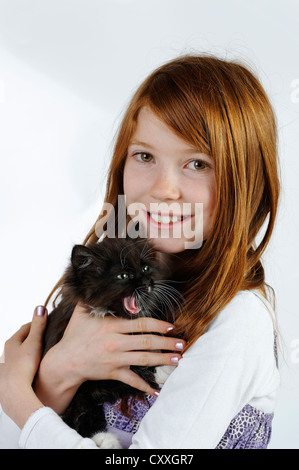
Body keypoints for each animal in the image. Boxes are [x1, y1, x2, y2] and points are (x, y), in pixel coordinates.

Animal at [42, 239, 180, 448]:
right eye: (123, 275)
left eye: (145, 268)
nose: (147, 282)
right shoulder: (82, 379)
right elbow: (81, 409)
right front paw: (102, 439)